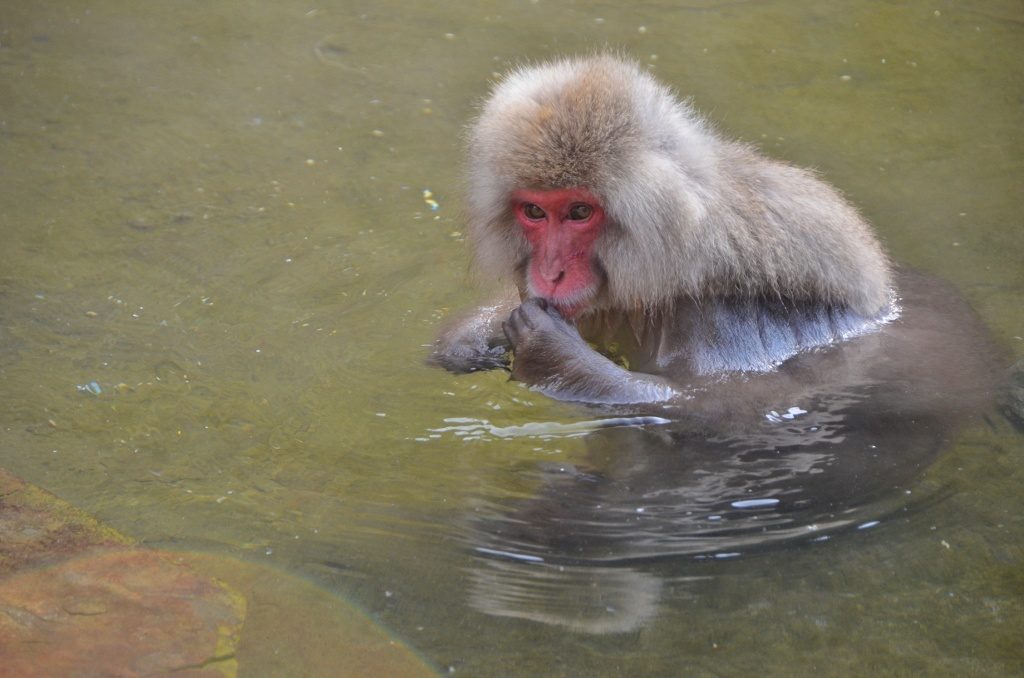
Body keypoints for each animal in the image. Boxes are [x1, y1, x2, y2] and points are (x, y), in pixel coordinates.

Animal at [431, 55, 1001, 421]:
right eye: (534, 212)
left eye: (578, 212)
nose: (549, 273)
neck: (681, 245)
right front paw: (472, 336)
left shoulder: (714, 321)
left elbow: (733, 408)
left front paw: (553, 355)